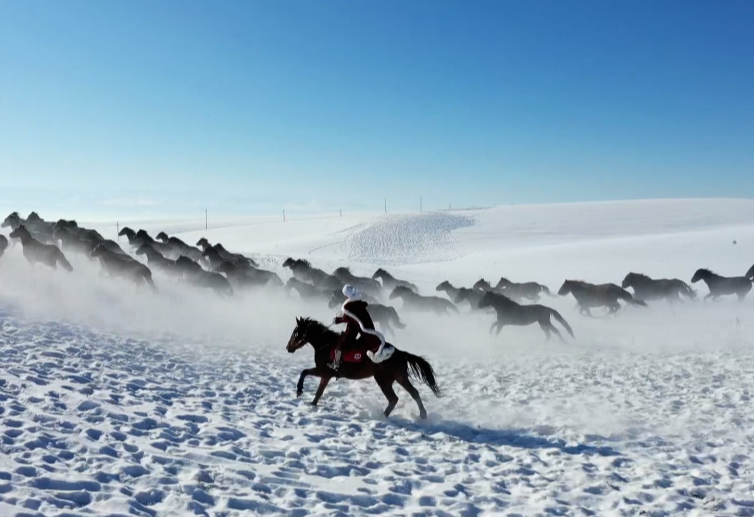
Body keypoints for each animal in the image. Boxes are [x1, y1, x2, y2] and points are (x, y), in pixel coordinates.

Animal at [286, 314, 440, 420]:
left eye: (296, 332)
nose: (288, 348)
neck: (325, 344)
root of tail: (400, 353)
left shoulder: (323, 371)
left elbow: (304, 372)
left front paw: (299, 391)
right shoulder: (326, 375)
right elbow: (319, 392)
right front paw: (312, 405)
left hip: (383, 380)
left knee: (393, 399)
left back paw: (382, 416)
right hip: (400, 377)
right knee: (414, 393)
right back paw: (422, 414)